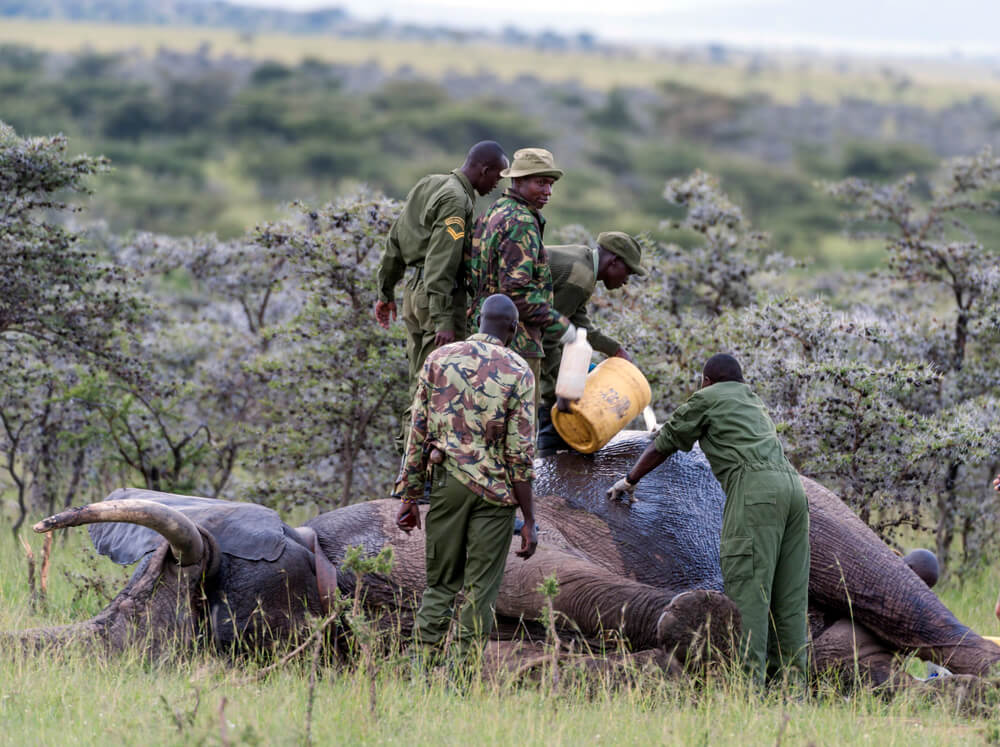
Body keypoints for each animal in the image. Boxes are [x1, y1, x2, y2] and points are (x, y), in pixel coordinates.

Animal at [7, 432, 1000, 688]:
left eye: (212, 602)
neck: (329, 560)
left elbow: (635, 601)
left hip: (823, 514)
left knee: (923, 618)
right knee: (851, 647)